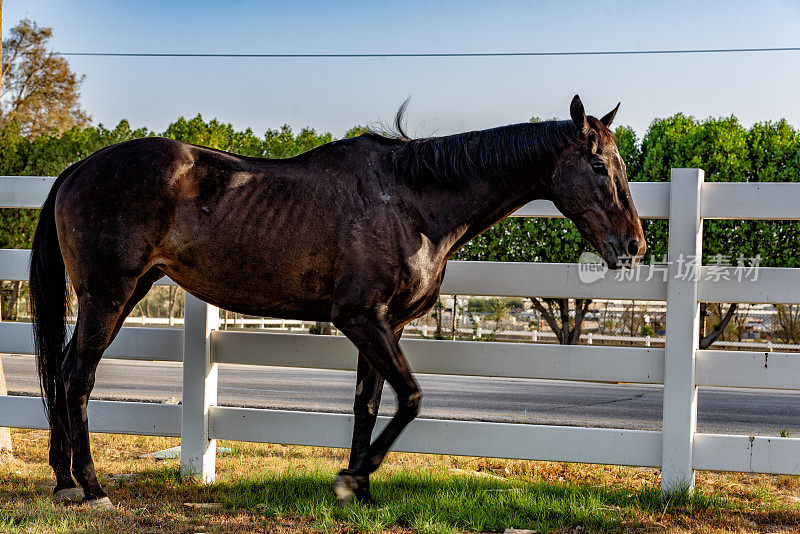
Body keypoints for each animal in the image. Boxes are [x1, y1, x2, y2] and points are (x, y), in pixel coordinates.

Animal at [28, 95, 648, 510]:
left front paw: (362, 489)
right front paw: (353, 479)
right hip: (107, 296)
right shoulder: (360, 319)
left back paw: (63, 479)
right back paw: (91, 486)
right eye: (599, 165)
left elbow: (369, 404)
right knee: (77, 378)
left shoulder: (384, 327)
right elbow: (412, 397)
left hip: (123, 295)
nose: (634, 246)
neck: (411, 201)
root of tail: (79, 168)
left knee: (62, 371)